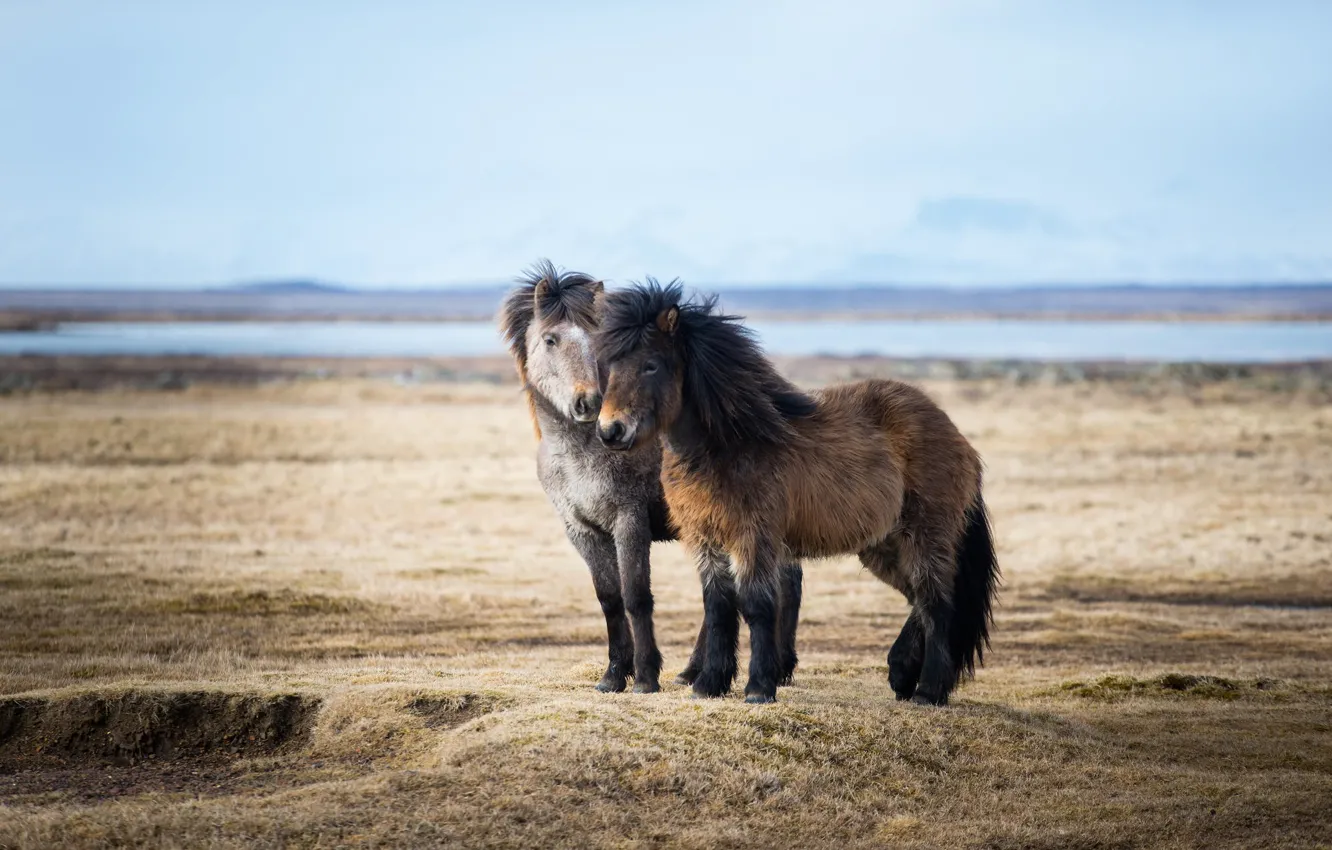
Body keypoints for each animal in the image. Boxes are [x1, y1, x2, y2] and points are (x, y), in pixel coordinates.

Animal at [499, 261, 805, 693]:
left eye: (599, 341)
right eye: (550, 339)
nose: (589, 402)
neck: (581, 452)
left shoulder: (629, 520)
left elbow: (636, 596)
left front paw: (644, 676)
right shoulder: (581, 530)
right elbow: (609, 598)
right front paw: (613, 675)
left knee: (783, 581)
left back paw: (776, 668)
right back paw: (695, 671)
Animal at [593, 279, 1000, 705]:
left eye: (651, 364)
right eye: (611, 365)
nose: (610, 431)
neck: (731, 443)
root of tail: (957, 437)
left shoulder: (754, 537)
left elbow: (756, 606)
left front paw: (758, 688)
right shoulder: (706, 539)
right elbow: (717, 607)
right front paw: (709, 685)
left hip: (925, 535)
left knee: (938, 604)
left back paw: (928, 690)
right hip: (882, 545)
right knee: (918, 599)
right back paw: (902, 673)